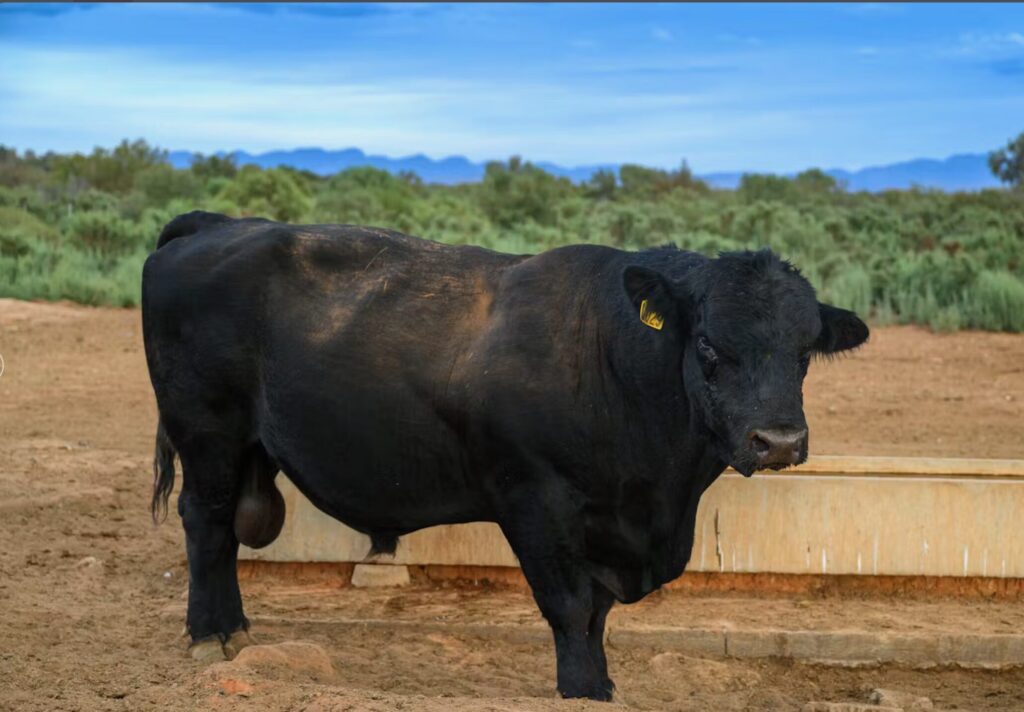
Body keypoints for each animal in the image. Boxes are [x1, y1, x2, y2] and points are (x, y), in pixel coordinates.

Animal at [142, 211, 868, 700]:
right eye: (710, 345)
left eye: (805, 351)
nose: (778, 441)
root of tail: (220, 224)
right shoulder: (534, 499)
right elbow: (570, 604)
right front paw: (581, 689)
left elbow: (597, 611)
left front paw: (602, 684)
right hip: (206, 431)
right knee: (207, 524)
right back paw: (212, 635)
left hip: (246, 445)